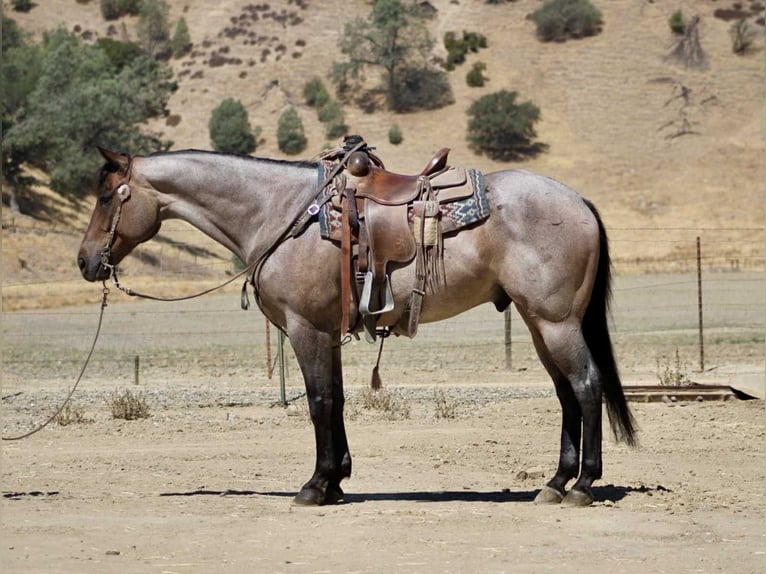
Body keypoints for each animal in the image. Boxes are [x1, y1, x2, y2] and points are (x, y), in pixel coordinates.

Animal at [78, 146, 636, 507]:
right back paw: (555, 482)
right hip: (538, 321)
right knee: (566, 392)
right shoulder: (327, 333)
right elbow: (338, 399)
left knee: (586, 385)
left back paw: (582, 486)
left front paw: (315, 485)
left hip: (556, 321)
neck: (278, 213)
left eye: (107, 198)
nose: (85, 261)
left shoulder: (305, 329)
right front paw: (338, 479)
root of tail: (579, 202)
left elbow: (319, 400)